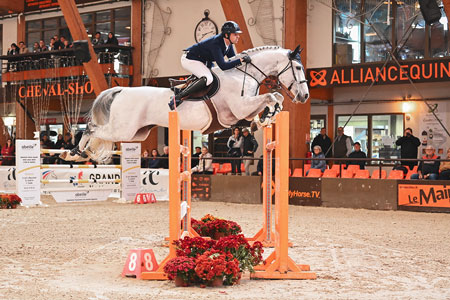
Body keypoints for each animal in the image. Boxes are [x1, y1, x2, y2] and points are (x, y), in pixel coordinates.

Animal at [61, 44, 310, 162]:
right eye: (298, 67)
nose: (305, 96)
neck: (242, 73)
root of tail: (121, 89)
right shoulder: (240, 108)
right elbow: (271, 96)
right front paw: (269, 113)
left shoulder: (243, 112)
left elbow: (273, 99)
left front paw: (266, 117)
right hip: (122, 129)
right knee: (91, 129)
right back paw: (73, 153)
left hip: (136, 133)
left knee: (96, 132)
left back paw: (79, 153)